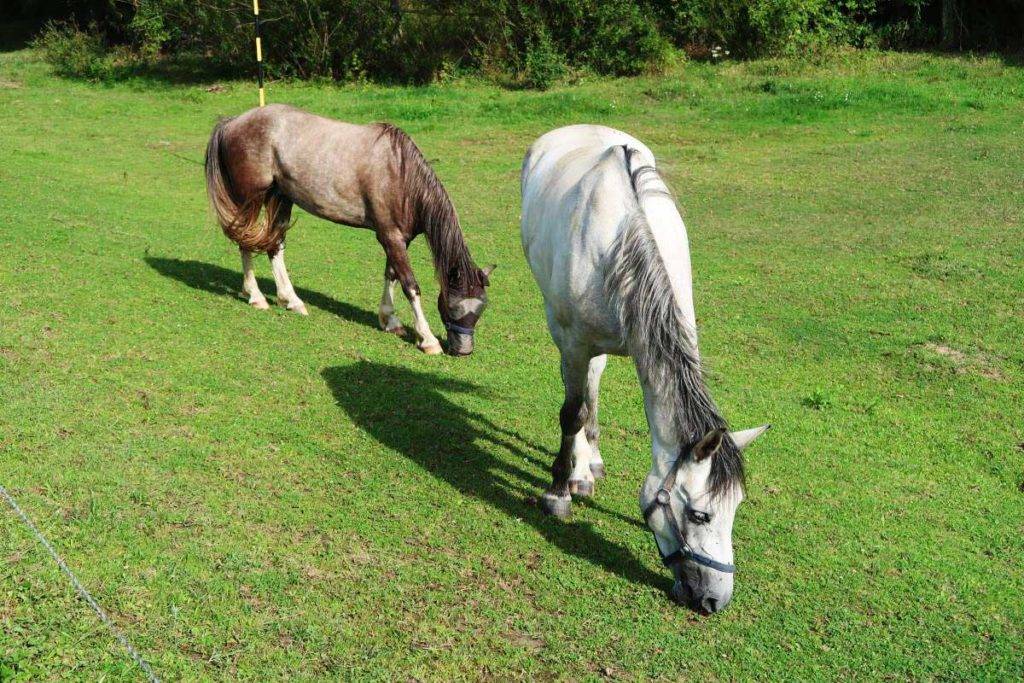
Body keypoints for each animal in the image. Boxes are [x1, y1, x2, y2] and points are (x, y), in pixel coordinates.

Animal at [202, 105, 491, 358]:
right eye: (453, 304)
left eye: (481, 307)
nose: (463, 351)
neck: (400, 176)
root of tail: (233, 122)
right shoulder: (390, 236)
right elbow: (410, 285)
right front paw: (428, 339)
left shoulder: (399, 239)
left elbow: (391, 275)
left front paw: (390, 320)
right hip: (249, 199)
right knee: (246, 242)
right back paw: (256, 296)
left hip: (280, 198)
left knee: (275, 246)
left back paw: (290, 300)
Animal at [520, 125, 770, 610]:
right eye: (700, 513)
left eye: (737, 508)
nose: (716, 600)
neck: (618, 238)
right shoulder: (573, 343)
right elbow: (571, 413)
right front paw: (558, 491)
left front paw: (582, 469)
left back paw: (589, 465)